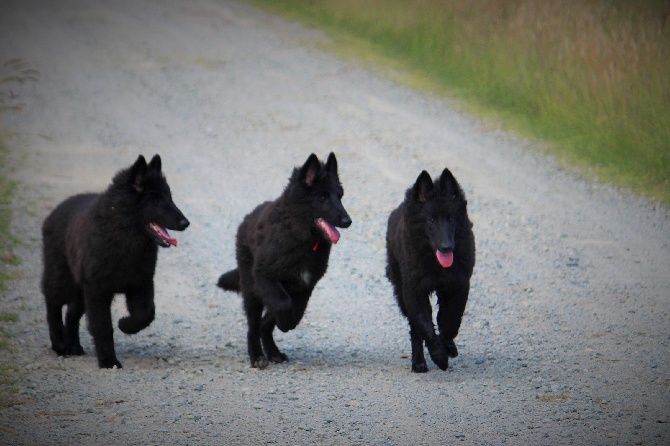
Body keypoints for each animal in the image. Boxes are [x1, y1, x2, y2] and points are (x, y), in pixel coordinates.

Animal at [41, 155, 190, 368]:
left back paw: (74, 346)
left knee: (71, 313)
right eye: (156, 199)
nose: (186, 223)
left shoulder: (140, 283)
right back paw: (60, 345)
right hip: (62, 278)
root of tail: (54, 213)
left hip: (81, 289)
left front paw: (126, 325)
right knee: (52, 306)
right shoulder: (98, 290)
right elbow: (103, 327)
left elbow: (146, 313)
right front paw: (108, 361)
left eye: (170, 196)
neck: (124, 236)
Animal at [218, 153, 354, 370]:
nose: (348, 221)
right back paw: (257, 356)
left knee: (265, 323)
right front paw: (284, 323)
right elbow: (282, 305)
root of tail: (246, 219)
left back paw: (273, 351)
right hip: (251, 287)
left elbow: (295, 311)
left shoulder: (305, 285)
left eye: (339, 196)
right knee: (254, 325)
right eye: (323, 197)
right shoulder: (264, 275)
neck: (302, 238)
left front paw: (287, 324)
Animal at [386, 167, 476, 372]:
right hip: (400, 289)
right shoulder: (413, 290)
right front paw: (438, 355)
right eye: (431, 219)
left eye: (451, 218)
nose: (447, 247)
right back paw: (419, 362)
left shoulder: (458, 285)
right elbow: (424, 324)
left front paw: (446, 346)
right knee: (415, 329)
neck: (436, 264)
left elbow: (451, 321)